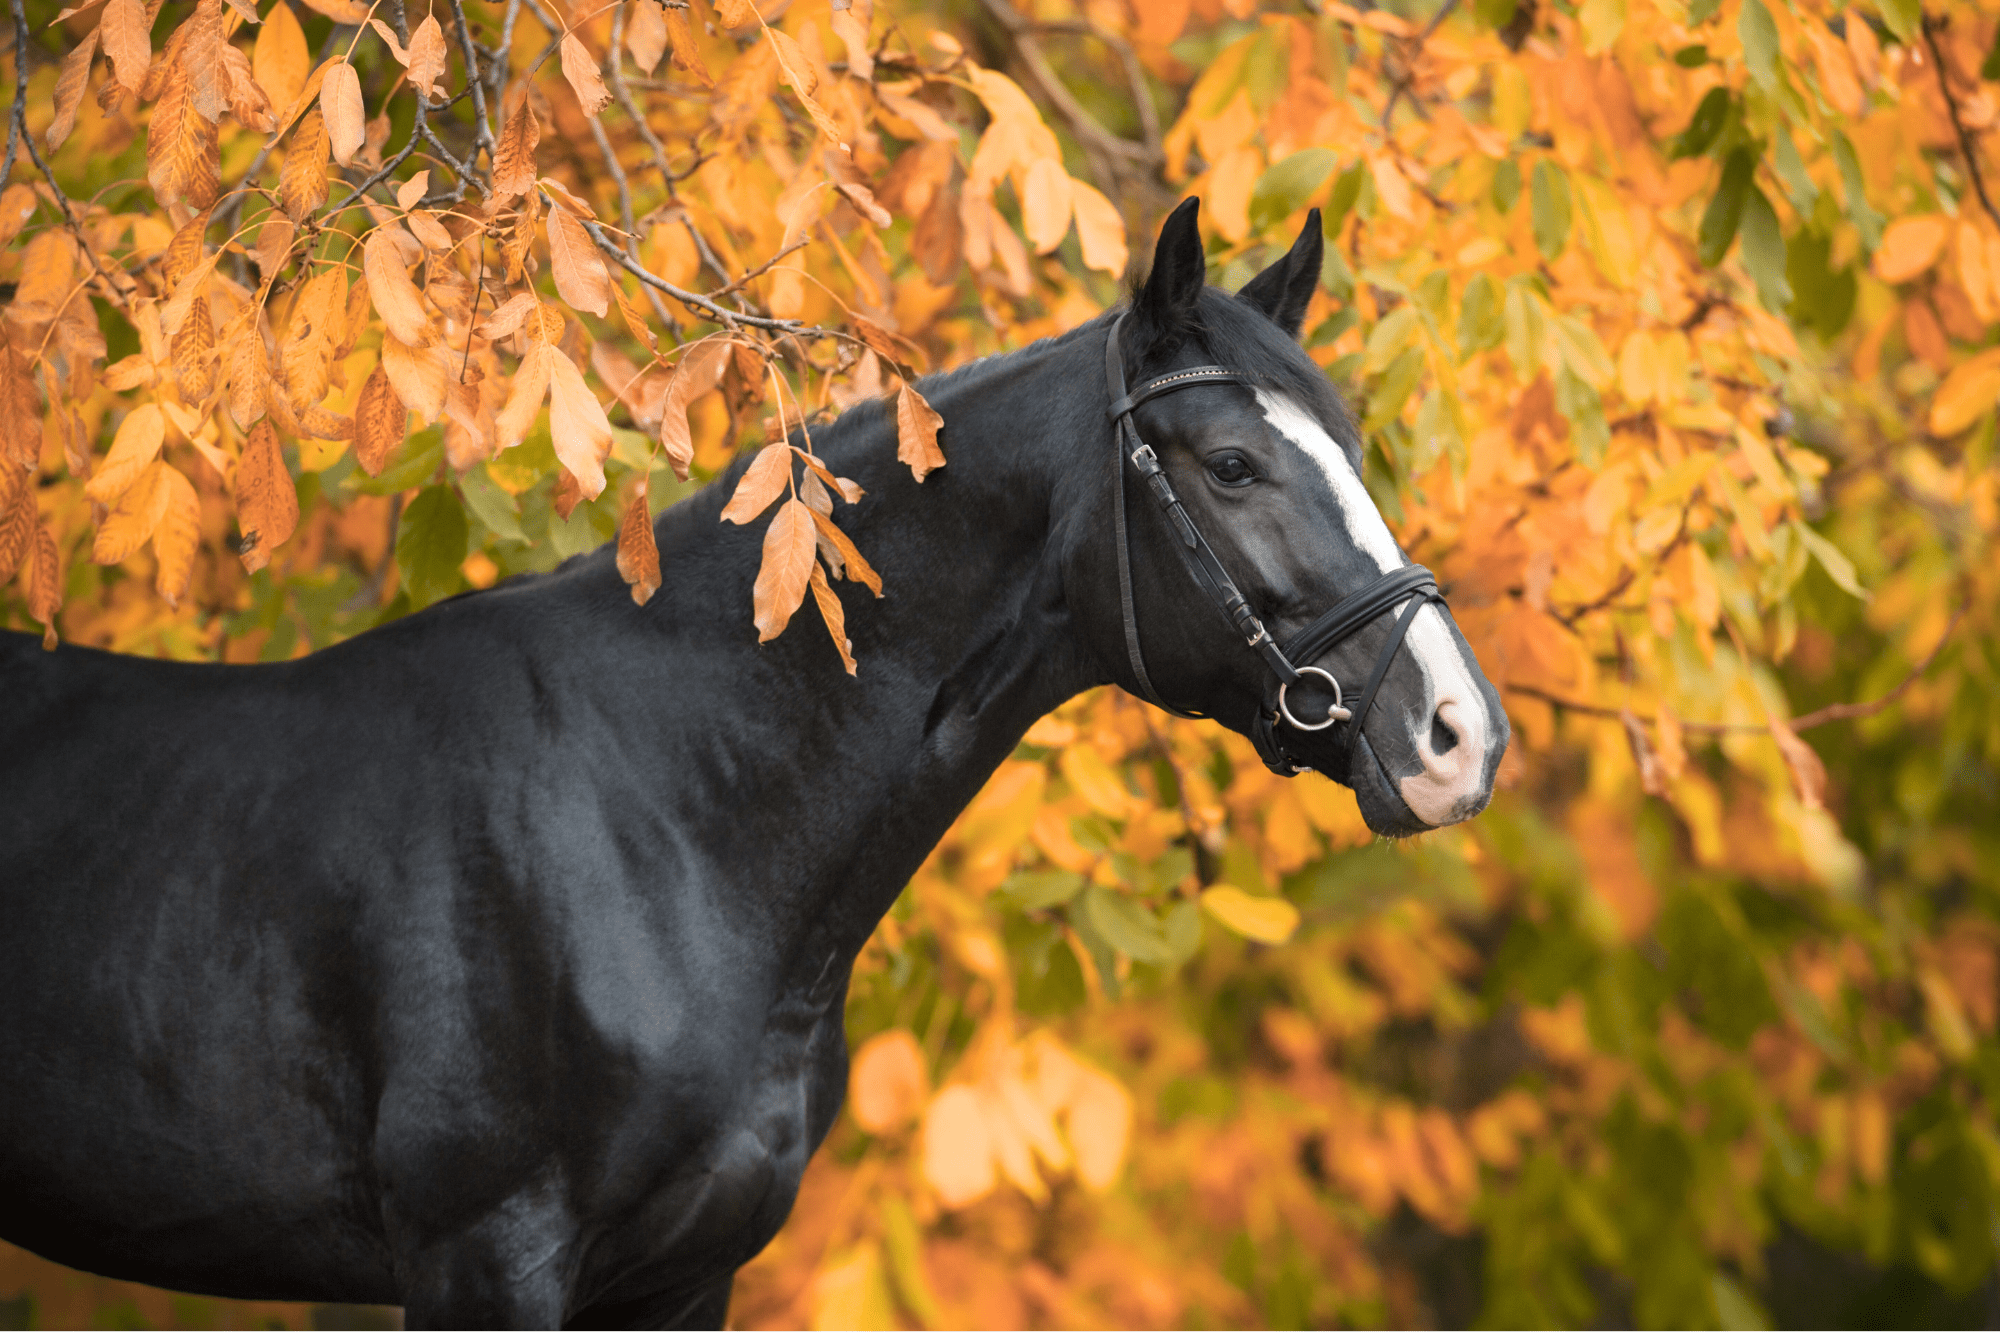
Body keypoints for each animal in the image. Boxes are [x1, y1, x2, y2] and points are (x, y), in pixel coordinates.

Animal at [0, 202, 1504, 1320]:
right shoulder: (484, 1259)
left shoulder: (683, 1276)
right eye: (1233, 464)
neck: (662, 822)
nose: (1460, 735)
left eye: (1353, 447)